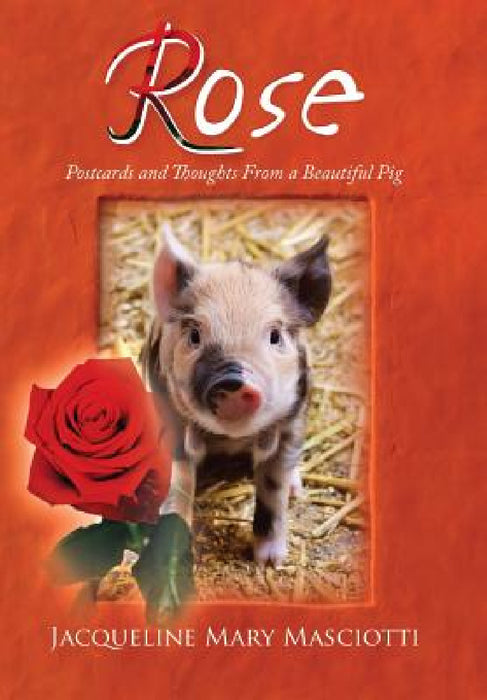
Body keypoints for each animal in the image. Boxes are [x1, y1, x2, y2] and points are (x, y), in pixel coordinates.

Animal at [144, 229, 331, 565]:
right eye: (194, 335)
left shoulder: (290, 424)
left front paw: (270, 562)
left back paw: (296, 490)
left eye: (275, 336)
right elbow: (180, 487)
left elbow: (273, 490)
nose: (233, 381)